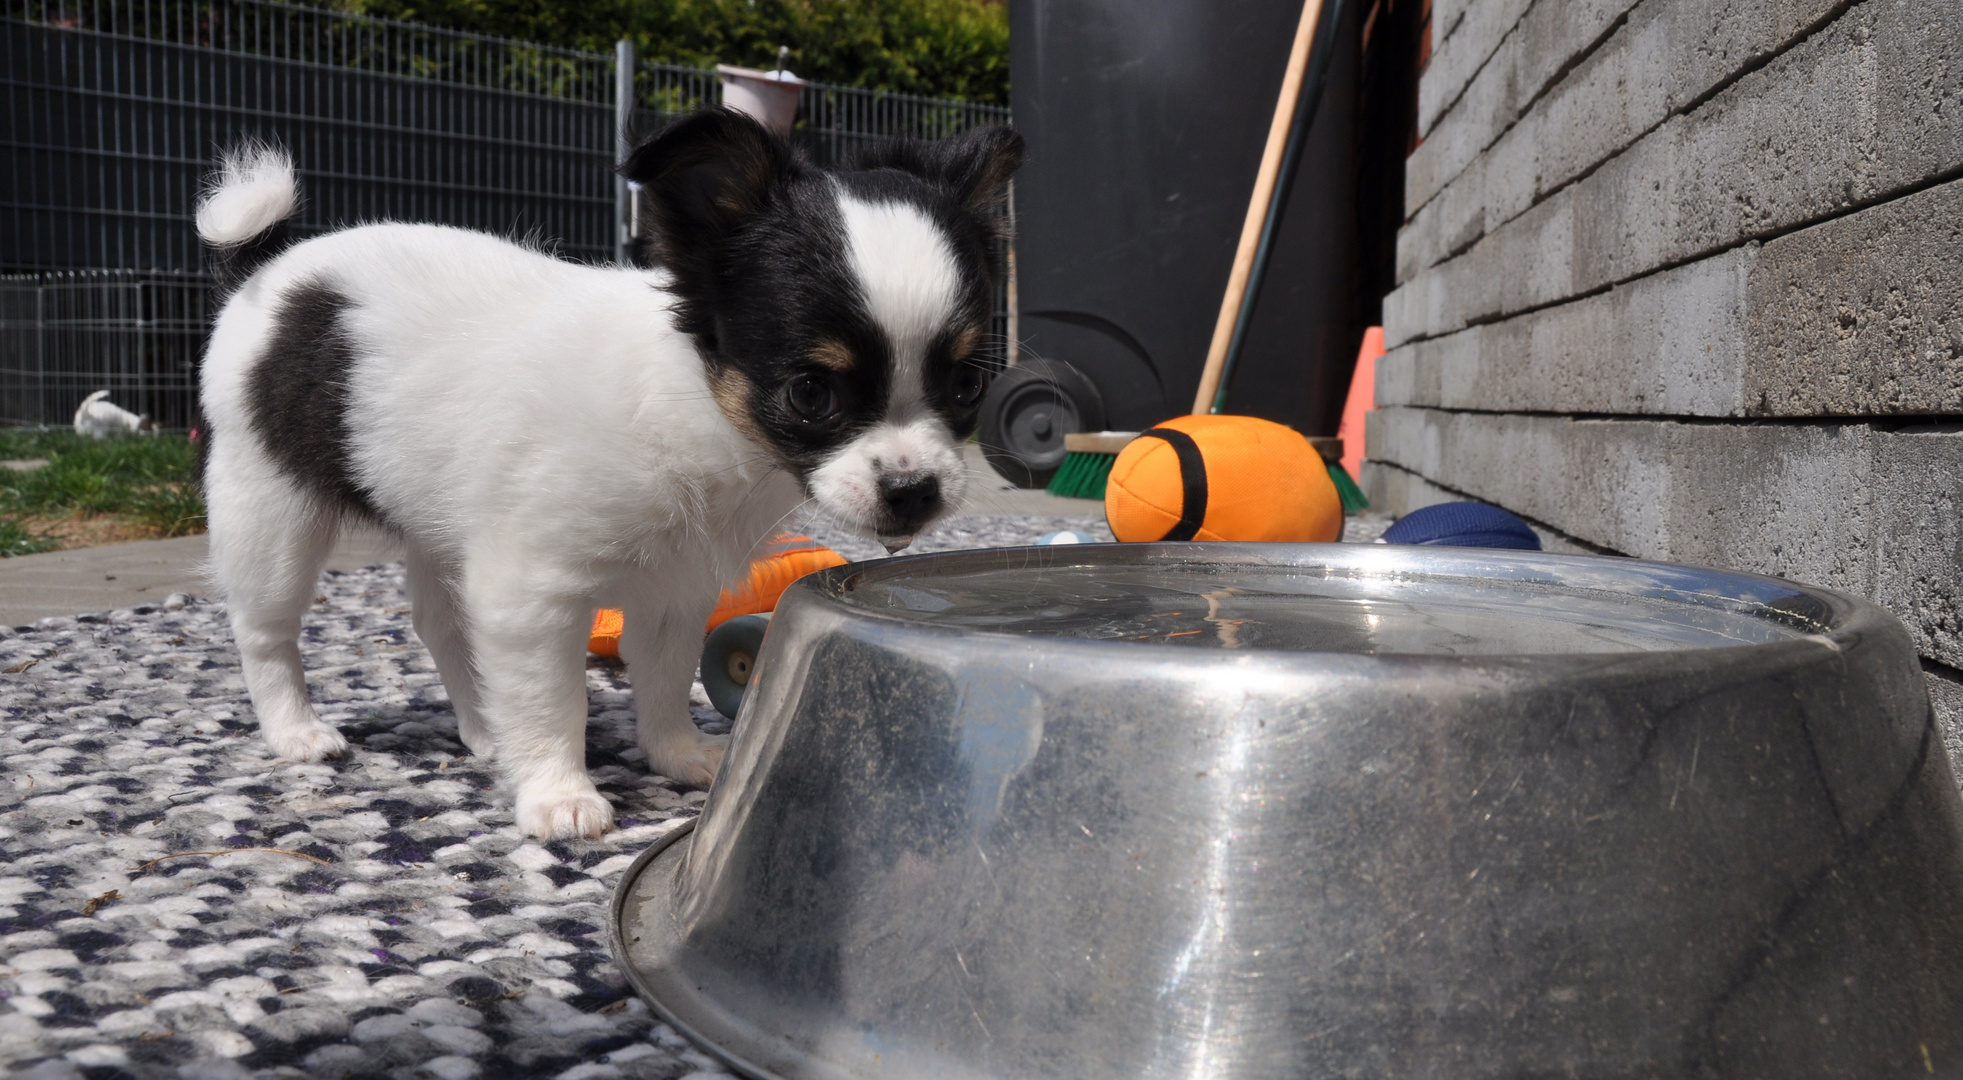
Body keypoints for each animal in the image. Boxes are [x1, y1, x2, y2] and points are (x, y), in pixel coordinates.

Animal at [197, 112, 1028, 836]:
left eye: (965, 386)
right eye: (810, 393)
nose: (914, 492)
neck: (698, 412)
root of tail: (268, 267)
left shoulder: (674, 589)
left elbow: (662, 678)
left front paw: (677, 753)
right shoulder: (531, 595)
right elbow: (551, 697)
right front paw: (557, 794)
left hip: (442, 518)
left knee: (443, 625)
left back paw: (483, 728)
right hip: (271, 505)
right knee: (265, 631)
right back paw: (297, 731)